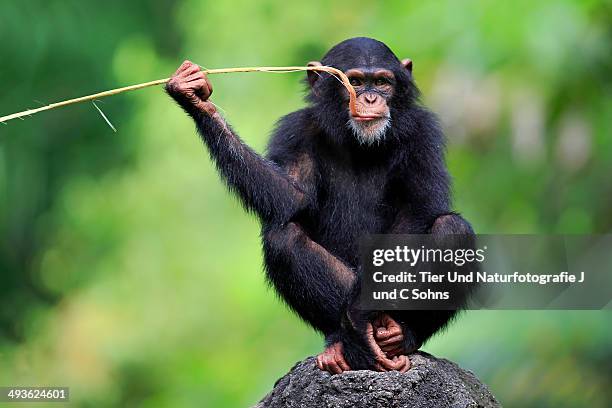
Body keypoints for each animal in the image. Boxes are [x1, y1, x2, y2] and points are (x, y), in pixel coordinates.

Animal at [165, 37, 470, 372]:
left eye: (382, 82)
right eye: (355, 82)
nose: (371, 98)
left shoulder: (423, 133)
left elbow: (420, 206)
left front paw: (362, 314)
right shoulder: (295, 130)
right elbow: (292, 197)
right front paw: (195, 95)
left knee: (452, 230)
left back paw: (401, 336)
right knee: (284, 237)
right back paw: (341, 345)